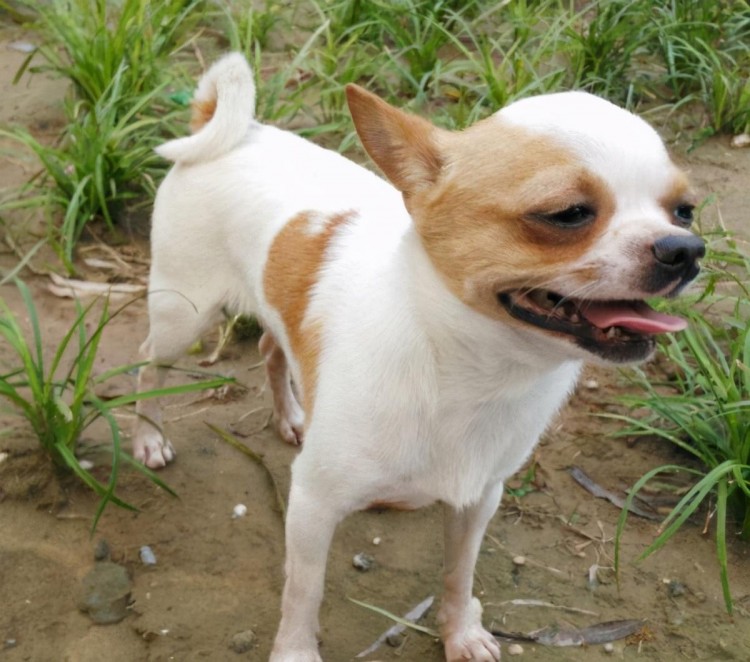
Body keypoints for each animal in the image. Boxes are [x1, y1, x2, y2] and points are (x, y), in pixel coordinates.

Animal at [134, 53, 704, 662]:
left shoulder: (478, 500)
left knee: (271, 347)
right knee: (148, 362)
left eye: (685, 212)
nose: (687, 250)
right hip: (183, 314)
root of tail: (235, 128)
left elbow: (459, 575)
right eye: (568, 213)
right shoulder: (311, 503)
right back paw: (149, 438)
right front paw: (295, 652)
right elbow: (304, 593)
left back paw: (290, 417)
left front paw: (460, 633)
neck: (467, 371)